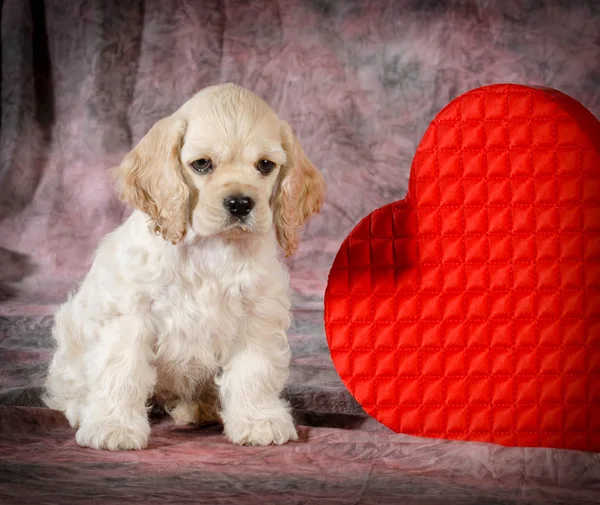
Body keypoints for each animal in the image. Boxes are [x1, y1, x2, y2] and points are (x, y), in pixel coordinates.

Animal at [44, 82, 326, 448]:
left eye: (265, 165)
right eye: (202, 164)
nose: (240, 203)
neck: (211, 248)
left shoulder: (257, 314)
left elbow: (254, 370)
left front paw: (258, 420)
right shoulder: (131, 314)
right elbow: (122, 369)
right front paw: (114, 426)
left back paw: (202, 409)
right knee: (69, 388)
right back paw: (83, 408)